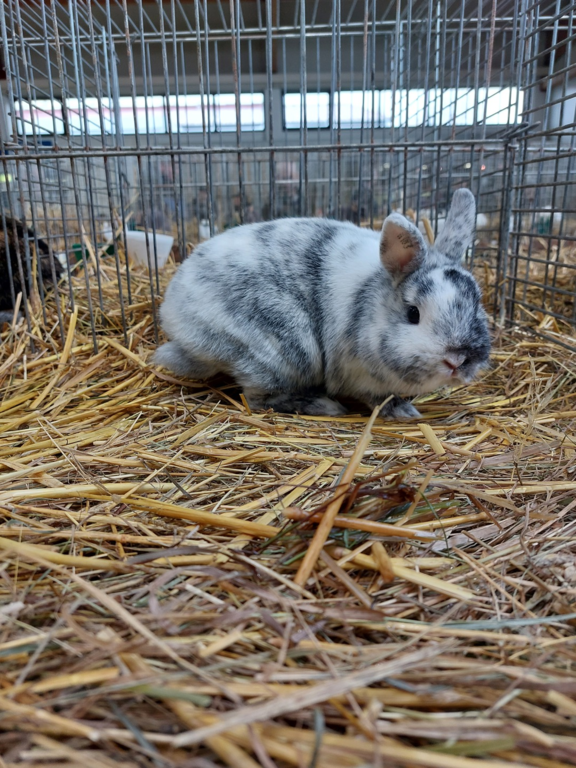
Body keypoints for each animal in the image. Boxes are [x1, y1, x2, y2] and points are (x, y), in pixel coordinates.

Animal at [154, 188, 491, 420]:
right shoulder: (359, 378)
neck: (369, 298)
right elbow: (377, 398)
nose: (457, 360)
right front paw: (403, 412)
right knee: (258, 398)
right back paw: (324, 405)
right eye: (413, 313)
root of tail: (176, 319)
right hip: (287, 352)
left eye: (477, 302)